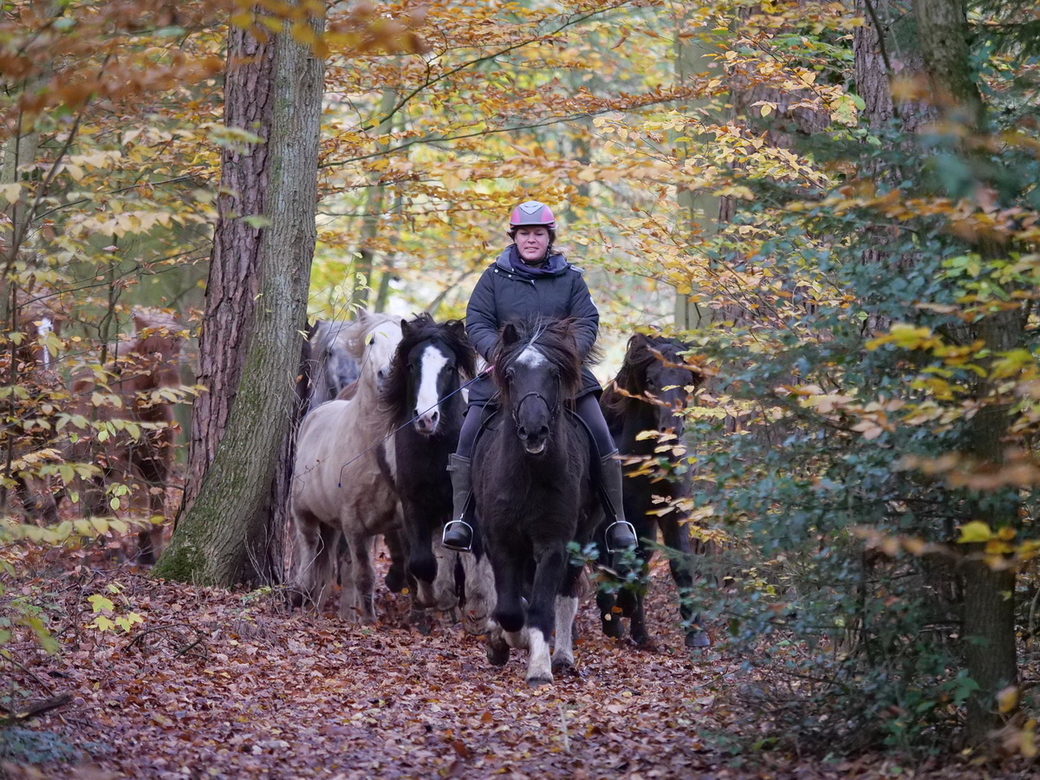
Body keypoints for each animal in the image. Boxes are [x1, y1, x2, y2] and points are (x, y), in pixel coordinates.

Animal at [599, 332, 711, 648]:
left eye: (688, 381)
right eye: (650, 380)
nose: (669, 433)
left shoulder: (673, 510)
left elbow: (680, 563)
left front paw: (696, 633)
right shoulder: (623, 515)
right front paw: (619, 609)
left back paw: (639, 633)